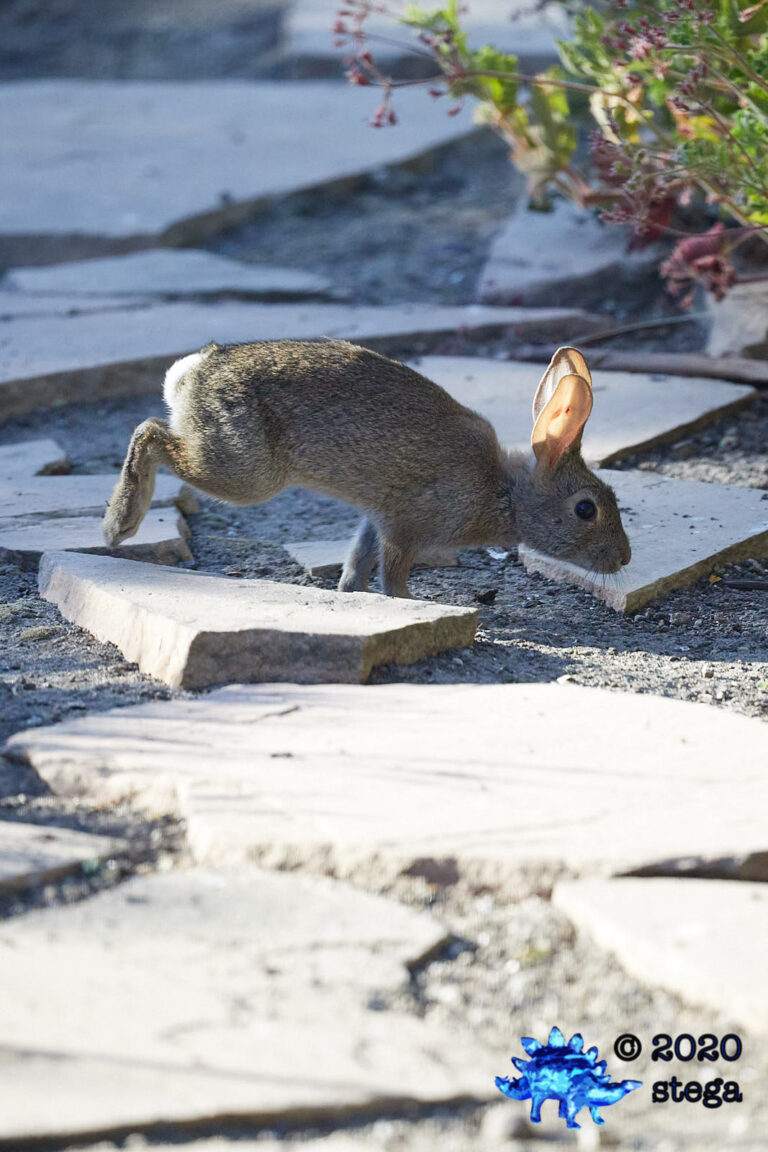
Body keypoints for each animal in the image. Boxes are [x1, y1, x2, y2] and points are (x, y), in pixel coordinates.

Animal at [103, 340, 631, 598]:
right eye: (586, 509)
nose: (623, 559)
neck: (504, 491)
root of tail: (191, 373)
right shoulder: (407, 524)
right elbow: (393, 572)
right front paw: (409, 603)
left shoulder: (378, 515)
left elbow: (360, 556)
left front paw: (350, 592)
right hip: (245, 471)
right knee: (149, 433)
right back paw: (118, 524)